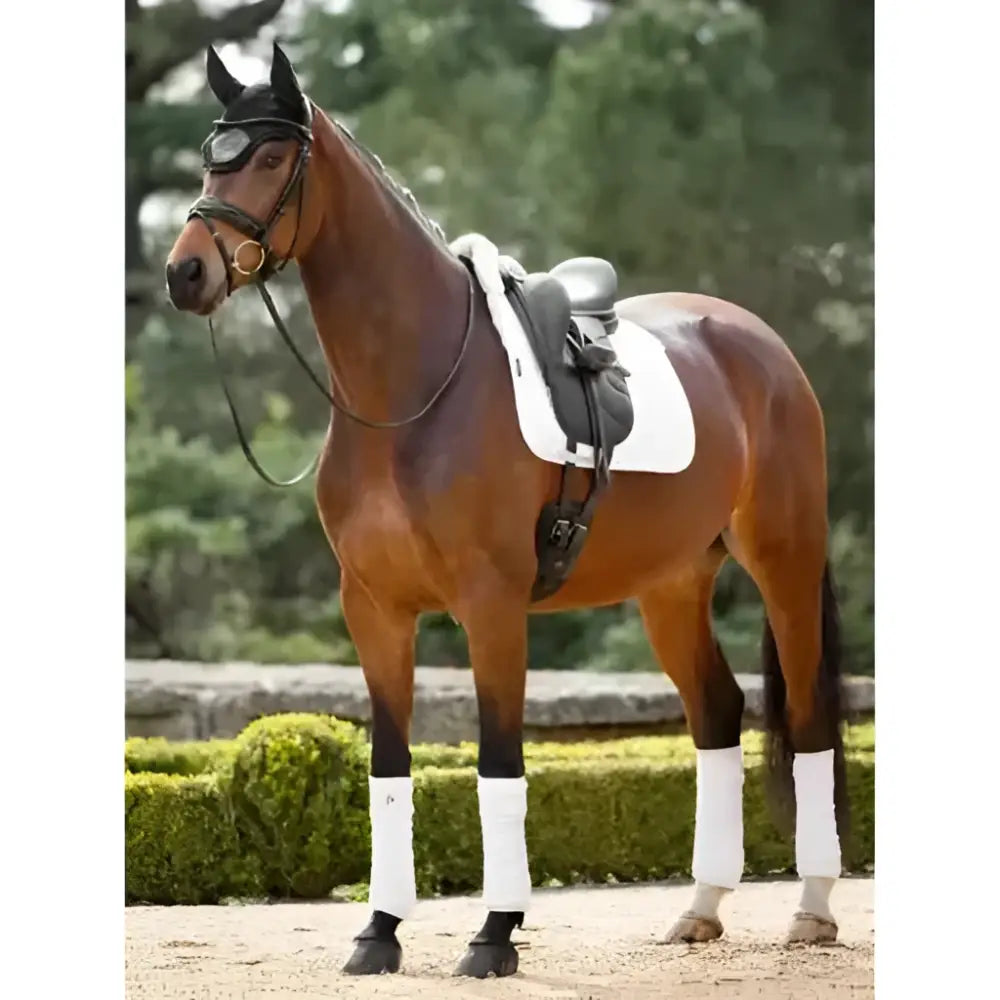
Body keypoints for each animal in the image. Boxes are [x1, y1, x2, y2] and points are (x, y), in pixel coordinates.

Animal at [164, 43, 849, 979]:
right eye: (210, 155)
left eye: (270, 156)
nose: (184, 271)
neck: (415, 389)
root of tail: (759, 344)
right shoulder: (374, 609)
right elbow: (389, 765)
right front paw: (378, 932)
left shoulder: (490, 606)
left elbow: (499, 764)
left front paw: (493, 934)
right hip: (672, 584)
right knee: (716, 713)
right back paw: (700, 909)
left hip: (785, 559)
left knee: (808, 716)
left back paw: (812, 907)